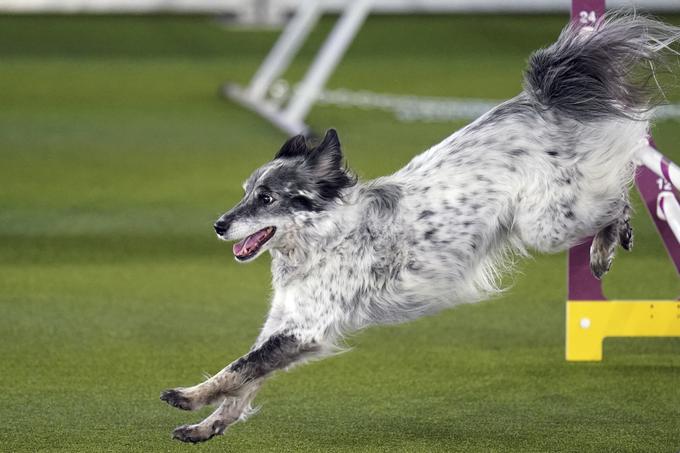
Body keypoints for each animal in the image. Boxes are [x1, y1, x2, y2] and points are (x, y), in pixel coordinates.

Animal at [161, 14, 680, 442]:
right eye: (246, 191)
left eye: (267, 199)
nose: (218, 225)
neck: (325, 238)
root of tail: (540, 99)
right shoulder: (288, 324)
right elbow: (245, 383)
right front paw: (207, 425)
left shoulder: (306, 328)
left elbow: (238, 369)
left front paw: (188, 397)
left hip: (549, 223)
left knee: (620, 187)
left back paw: (608, 245)